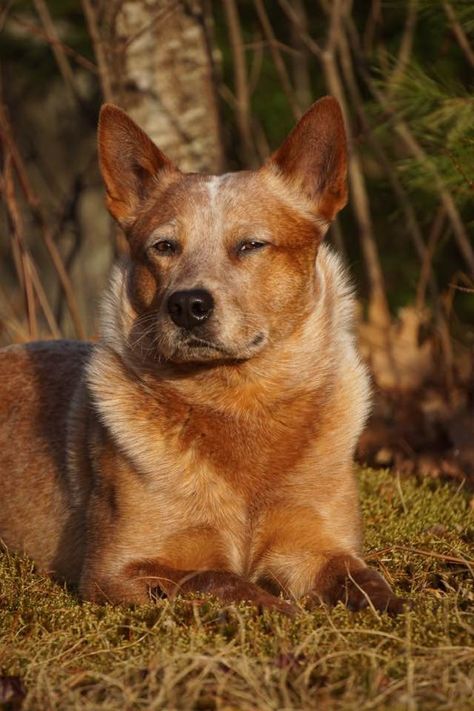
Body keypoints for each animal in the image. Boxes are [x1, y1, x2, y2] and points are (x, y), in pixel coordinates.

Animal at [0, 97, 404, 616]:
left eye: (251, 245)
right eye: (164, 246)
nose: (187, 305)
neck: (239, 404)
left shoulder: (318, 547)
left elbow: (368, 582)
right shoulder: (117, 570)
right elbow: (216, 580)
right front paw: (283, 613)